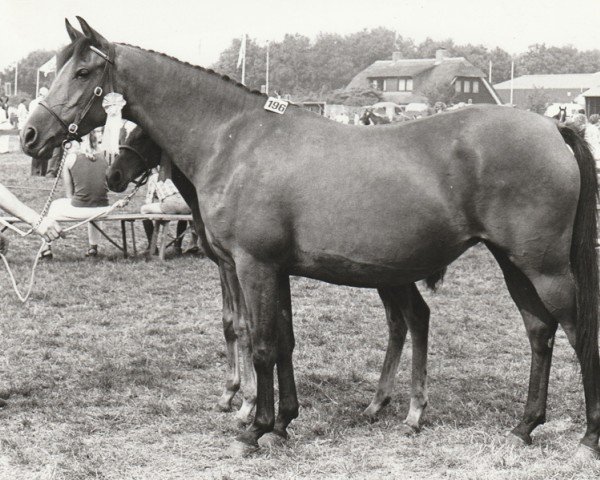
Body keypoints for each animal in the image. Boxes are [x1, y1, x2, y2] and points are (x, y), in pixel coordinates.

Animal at [21, 17, 600, 462]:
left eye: (84, 70)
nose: (29, 135)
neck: (236, 139)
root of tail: (553, 129)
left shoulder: (253, 266)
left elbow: (260, 344)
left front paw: (253, 429)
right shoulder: (272, 270)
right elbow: (281, 340)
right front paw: (280, 421)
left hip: (544, 268)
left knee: (576, 334)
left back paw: (586, 439)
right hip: (512, 263)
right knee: (538, 332)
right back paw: (522, 426)